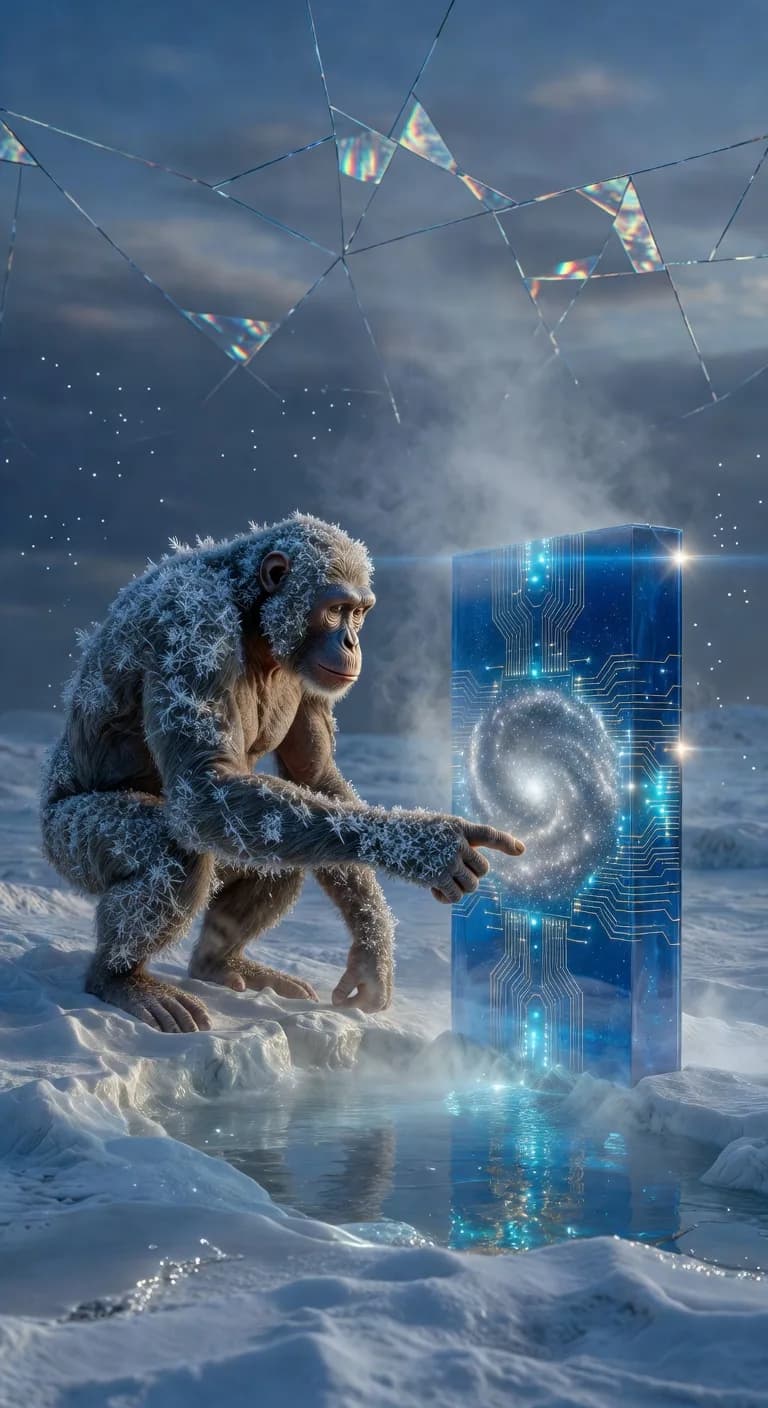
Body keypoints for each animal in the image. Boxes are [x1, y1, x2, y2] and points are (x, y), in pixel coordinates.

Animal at [40, 513, 524, 1033]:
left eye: (359, 613)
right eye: (336, 610)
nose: (351, 640)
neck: (253, 619)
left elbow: (313, 777)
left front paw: (373, 948)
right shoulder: (191, 628)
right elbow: (203, 787)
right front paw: (430, 846)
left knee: (284, 839)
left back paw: (219, 964)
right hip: (67, 845)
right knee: (174, 851)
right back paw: (121, 979)